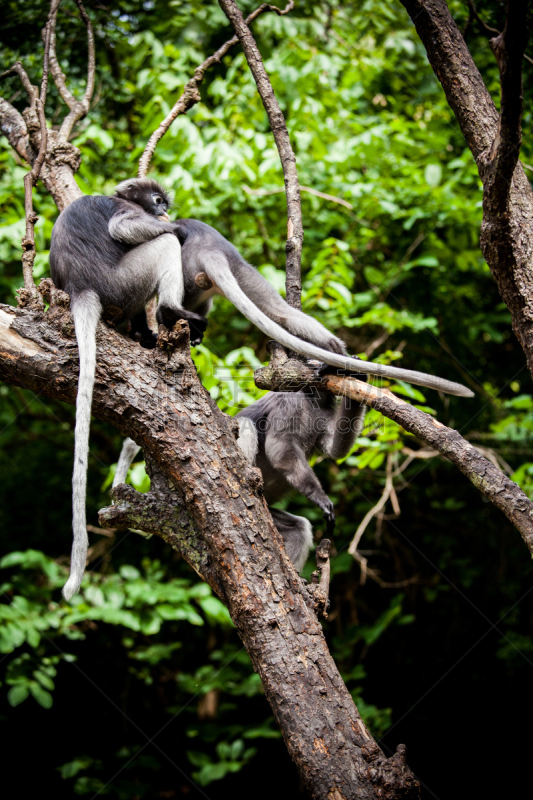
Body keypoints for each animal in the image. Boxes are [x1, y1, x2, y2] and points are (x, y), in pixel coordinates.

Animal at [52, 177, 472, 600]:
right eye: (157, 200)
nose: (163, 211)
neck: (312, 402)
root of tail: (211, 247)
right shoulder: (290, 406)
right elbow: (284, 450)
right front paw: (322, 498)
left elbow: (333, 450)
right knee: (250, 416)